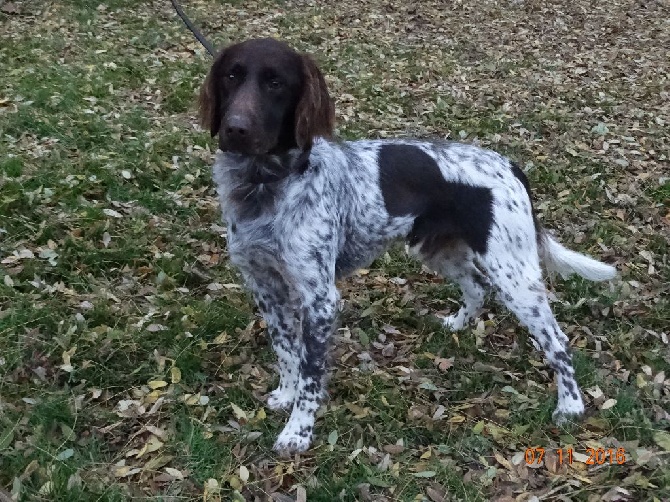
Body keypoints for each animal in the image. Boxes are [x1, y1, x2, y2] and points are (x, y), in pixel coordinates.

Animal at [197, 38, 616, 454]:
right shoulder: (266, 286)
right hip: (437, 250)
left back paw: (570, 406)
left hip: (514, 276)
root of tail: (511, 166)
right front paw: (285, 395)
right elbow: (286, 350)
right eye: (232, 76)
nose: (236, 129)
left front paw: (298, 431)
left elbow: (310, 373)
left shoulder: (320, 299)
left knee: (557, 340)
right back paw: (457, 325)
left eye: (276, 83)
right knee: (476, 286)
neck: (264, 185)